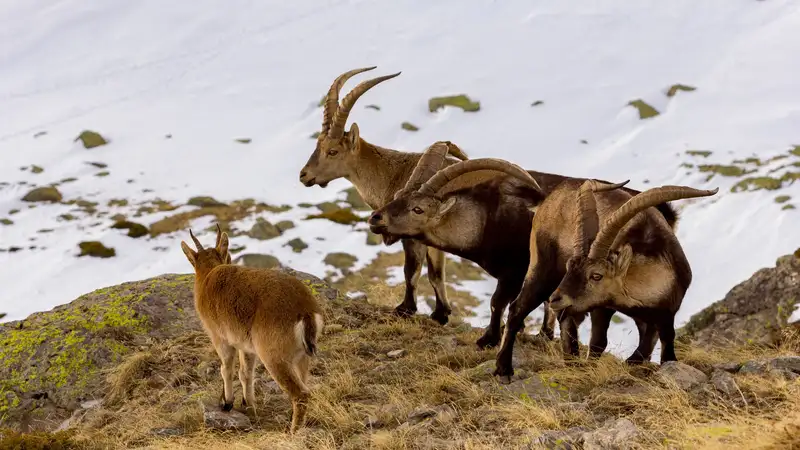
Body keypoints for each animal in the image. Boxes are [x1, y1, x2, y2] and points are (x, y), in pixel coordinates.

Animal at [302, 66, 476, 324]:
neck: (393, 173)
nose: (304, 175)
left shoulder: (412, 234)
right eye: (317, 145)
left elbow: (411, 272)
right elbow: (436, 274)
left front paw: (406, 309)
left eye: (332, 151)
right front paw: (441, 314)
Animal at [494, 179, 720, 380]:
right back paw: (503, 369)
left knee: (564, 319)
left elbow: (660, 348)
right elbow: (599, 342)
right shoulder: (602, 307)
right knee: (517, 308)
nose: (557, 298)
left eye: (596, 275)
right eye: (569, 266)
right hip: (542, 267)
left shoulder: (664, 315)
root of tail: (549, 199)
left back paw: (570, 359)